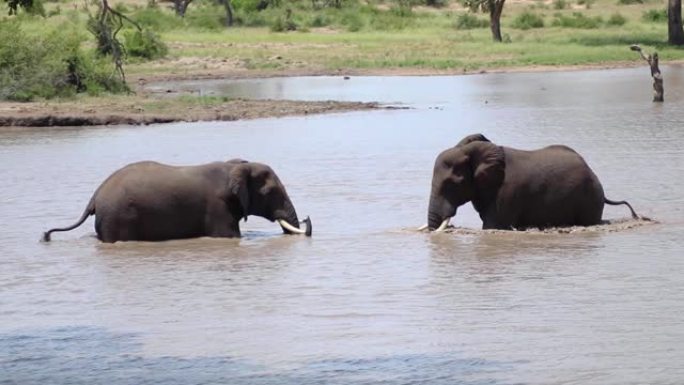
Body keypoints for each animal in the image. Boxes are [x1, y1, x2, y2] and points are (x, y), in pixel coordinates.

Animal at [41, 158, 312, 242]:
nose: (306, 219)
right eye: (271, 192)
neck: (235, 165)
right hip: (117, 218)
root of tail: (95, 196)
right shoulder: (218, 207)